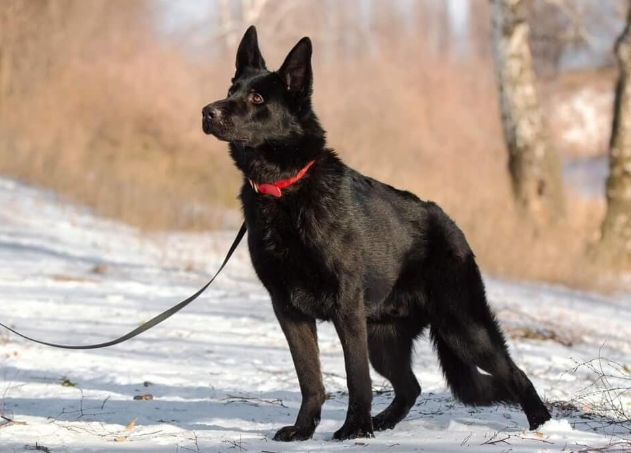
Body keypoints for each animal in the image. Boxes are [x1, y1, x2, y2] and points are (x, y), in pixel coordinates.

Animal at [201, 26, 548, 440]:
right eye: (231, 88)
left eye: (256, 98)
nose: (207, 112)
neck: (284, 187)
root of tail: (453, 228)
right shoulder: (287, 310)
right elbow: (310, 379)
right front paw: (304, 430)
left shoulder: (347, 308)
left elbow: (356, 377)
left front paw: (354, 428)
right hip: (385, 339)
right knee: (411, 386)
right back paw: (383, 422)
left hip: (463, 328)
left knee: (515, 373)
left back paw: (542, 424)